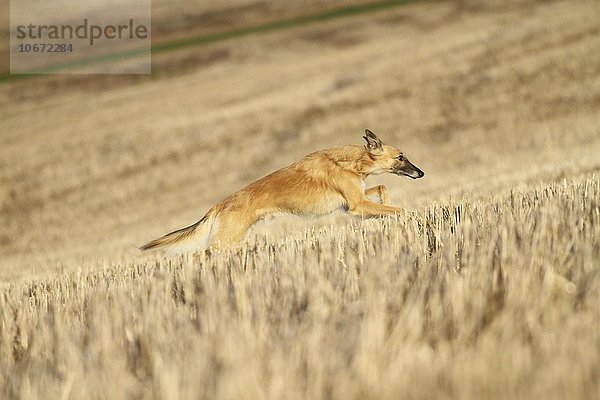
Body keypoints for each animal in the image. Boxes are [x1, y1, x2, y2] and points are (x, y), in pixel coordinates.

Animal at [141, 130, 424, 252]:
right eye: (401, 157)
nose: (421, 174)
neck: (351, 162)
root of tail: (220, 204)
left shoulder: (354, 202)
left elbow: (383, 189)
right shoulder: (356, 205)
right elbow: (399, 208)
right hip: (226, 240)